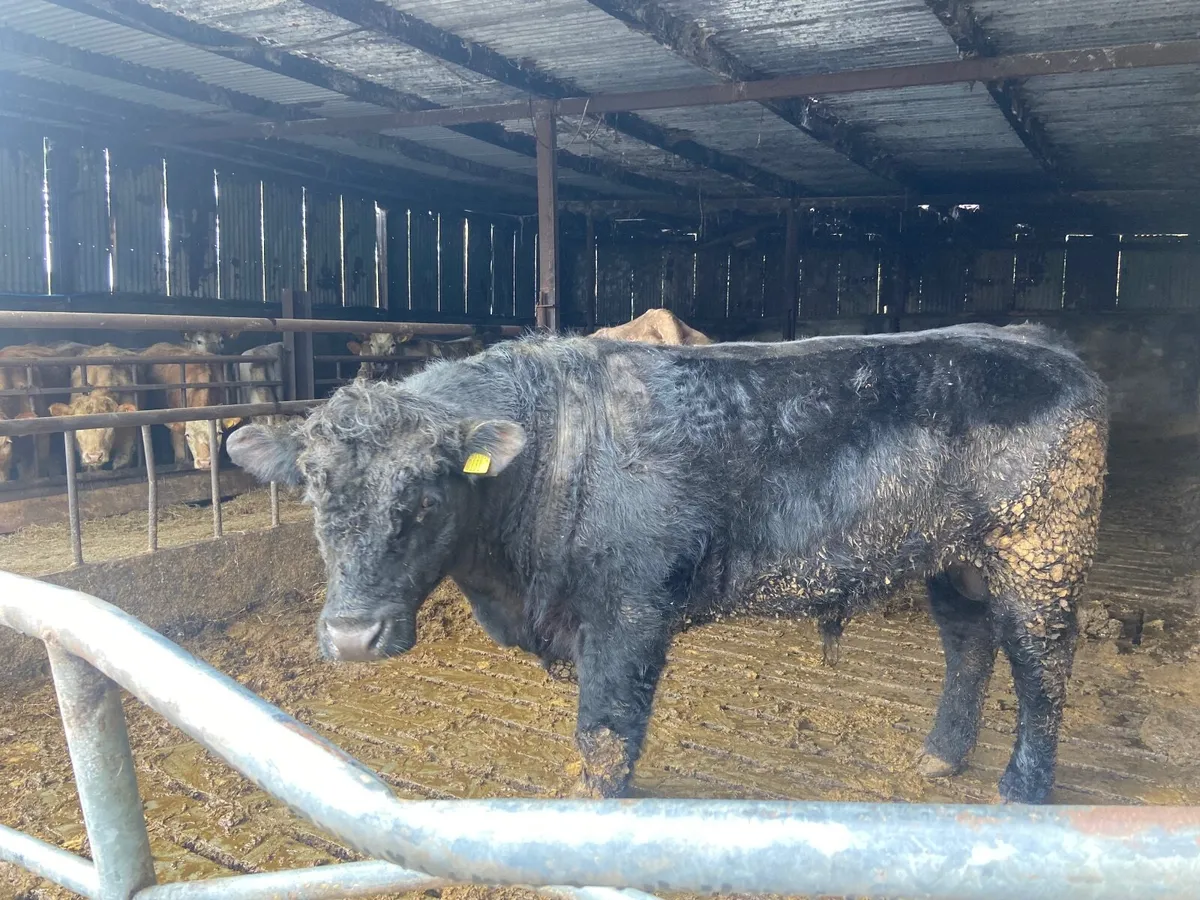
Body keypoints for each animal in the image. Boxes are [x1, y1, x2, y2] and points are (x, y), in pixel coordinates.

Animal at [227, 323, 1108, 805]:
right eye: (311, 487)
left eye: (427, 496)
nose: (352, 637)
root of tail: (1035, 344)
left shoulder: (630, 609)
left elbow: (606, 729)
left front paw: (597, 804)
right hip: (957, 559)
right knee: (969, 644)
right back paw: (940, 755)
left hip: (1040, 556)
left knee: (1042, 668)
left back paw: (1022, 788)